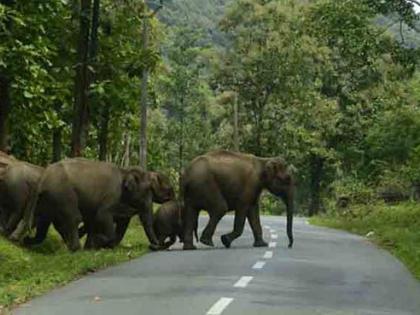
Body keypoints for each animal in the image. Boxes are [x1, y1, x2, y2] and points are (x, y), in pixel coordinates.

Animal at [22, 159, 162, 253]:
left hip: (48, 198)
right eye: (148, 191)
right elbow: (103, 215)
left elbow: (113, 221)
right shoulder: (112, 195)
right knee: (73, 218)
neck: (124, 171)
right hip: (62, 193)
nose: (154, 246)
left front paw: (92, 246)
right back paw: (76, 248)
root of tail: (43, 177)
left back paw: (27, 241)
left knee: (42, 222)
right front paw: (98, 242)